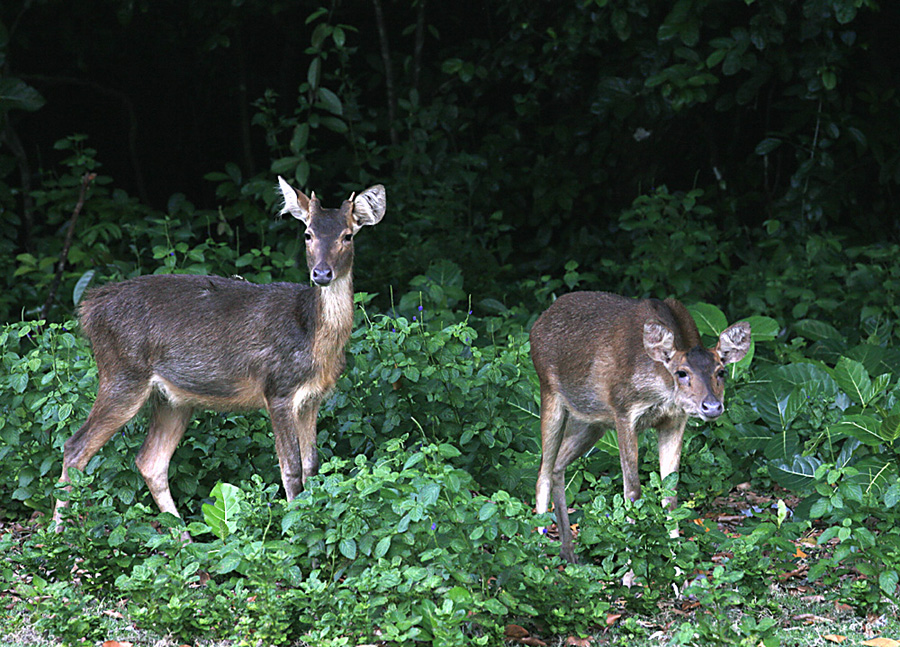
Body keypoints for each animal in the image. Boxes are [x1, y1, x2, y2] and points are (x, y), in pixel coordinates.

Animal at [51, 176, 384, 528]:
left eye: (347, 235)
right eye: (307, 234)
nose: (321, 273)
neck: (313, 337)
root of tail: (88, 309)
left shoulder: (312, 398)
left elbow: (312, 467)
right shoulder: (277, 388)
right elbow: (291, 469)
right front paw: (294, 528)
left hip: (173, 399)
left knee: (150, 460)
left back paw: (182, 535)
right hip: (122, 373)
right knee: (75, 447)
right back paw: (59, 534)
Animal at [532, 292, 748, 564]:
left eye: (721, 371)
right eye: (682, 372)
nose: (711, 406)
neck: (659, 388)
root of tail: (539, 321)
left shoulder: (675, 420)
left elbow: (670, 494)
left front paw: (678, 567)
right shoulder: (623, 411)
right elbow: (632, 491)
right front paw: (629, 568)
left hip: (591, 422)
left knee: (557, 467)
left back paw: (568, 552)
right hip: (549, 392)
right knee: (542, 473)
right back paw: (540, 554)